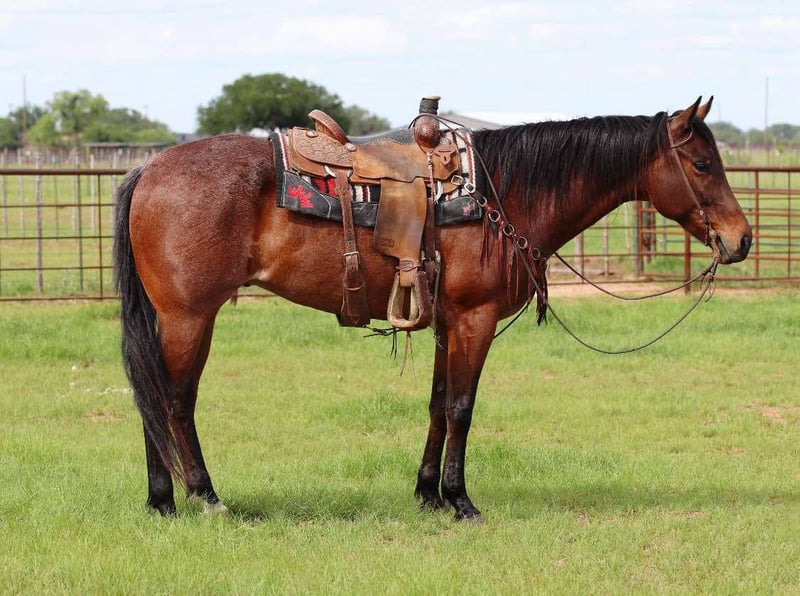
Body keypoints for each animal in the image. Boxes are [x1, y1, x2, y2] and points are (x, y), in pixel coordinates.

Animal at [113, 96, 751, 521]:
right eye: (702, 165)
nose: (741, 239)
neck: (500, 193)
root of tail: (149, 167)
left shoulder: (446, 323)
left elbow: (438, 405)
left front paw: (427, 495)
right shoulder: (475, 319)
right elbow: (463, 408)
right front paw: (461, 500)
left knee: (158, 402)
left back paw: (164, 500)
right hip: (189, 318)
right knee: (170, 402)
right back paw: (195, 498)